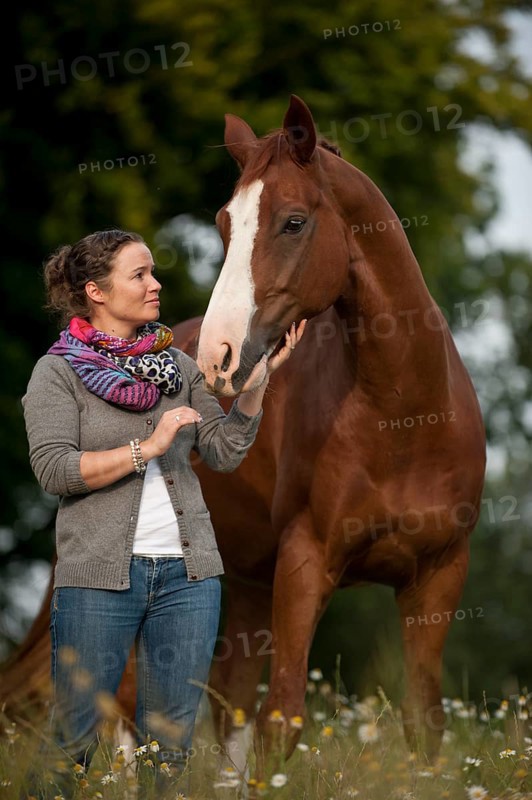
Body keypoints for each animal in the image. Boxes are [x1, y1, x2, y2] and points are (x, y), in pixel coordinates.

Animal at [0, 95, 485, 776]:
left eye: (293, 222)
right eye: (226, 225)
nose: (218, 357)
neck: (405, 421)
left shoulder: (437, 576)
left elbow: (425, 726)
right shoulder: (306, 563)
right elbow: (280, 722)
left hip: (251, 584)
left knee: (220, 706)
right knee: (125, 711)